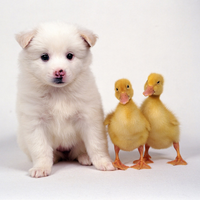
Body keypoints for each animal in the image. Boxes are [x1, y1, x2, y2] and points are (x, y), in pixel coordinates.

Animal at [15, 22, 114, 178]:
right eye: (44, 57)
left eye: (69, 55)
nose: (59, 72)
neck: (58, 92)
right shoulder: (35, 122)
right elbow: (40, 148)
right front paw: (41, 168)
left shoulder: (89, 118)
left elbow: (96, 143)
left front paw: (104, 163)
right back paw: (54, 158)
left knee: (80, 151)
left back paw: (85, 157)